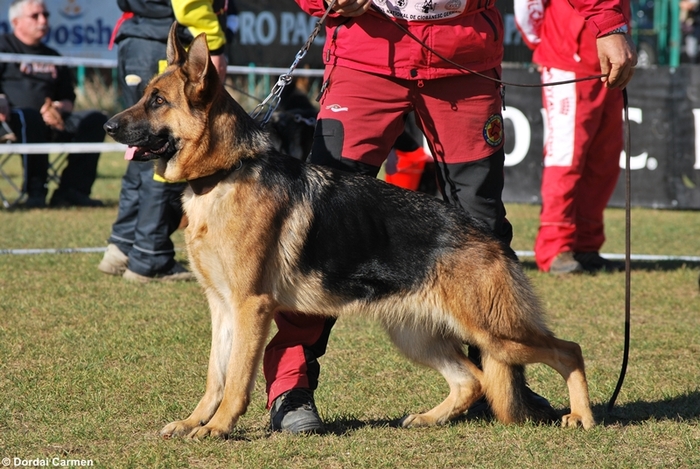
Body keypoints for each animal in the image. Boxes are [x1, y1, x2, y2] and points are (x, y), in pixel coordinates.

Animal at [104, 23, 592, 436]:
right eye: (144, 96)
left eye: (157, 101)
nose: (108, 126)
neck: (227, 172)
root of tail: (487, 237)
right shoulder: (222, 308)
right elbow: (214, 376)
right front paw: (194, 421)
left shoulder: (250, 308)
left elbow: (237, 380)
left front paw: (219, 427)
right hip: (416, 336)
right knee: (472, 380)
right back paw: (430, 418)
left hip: (496, 334)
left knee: (568, 350)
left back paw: (581, 416)